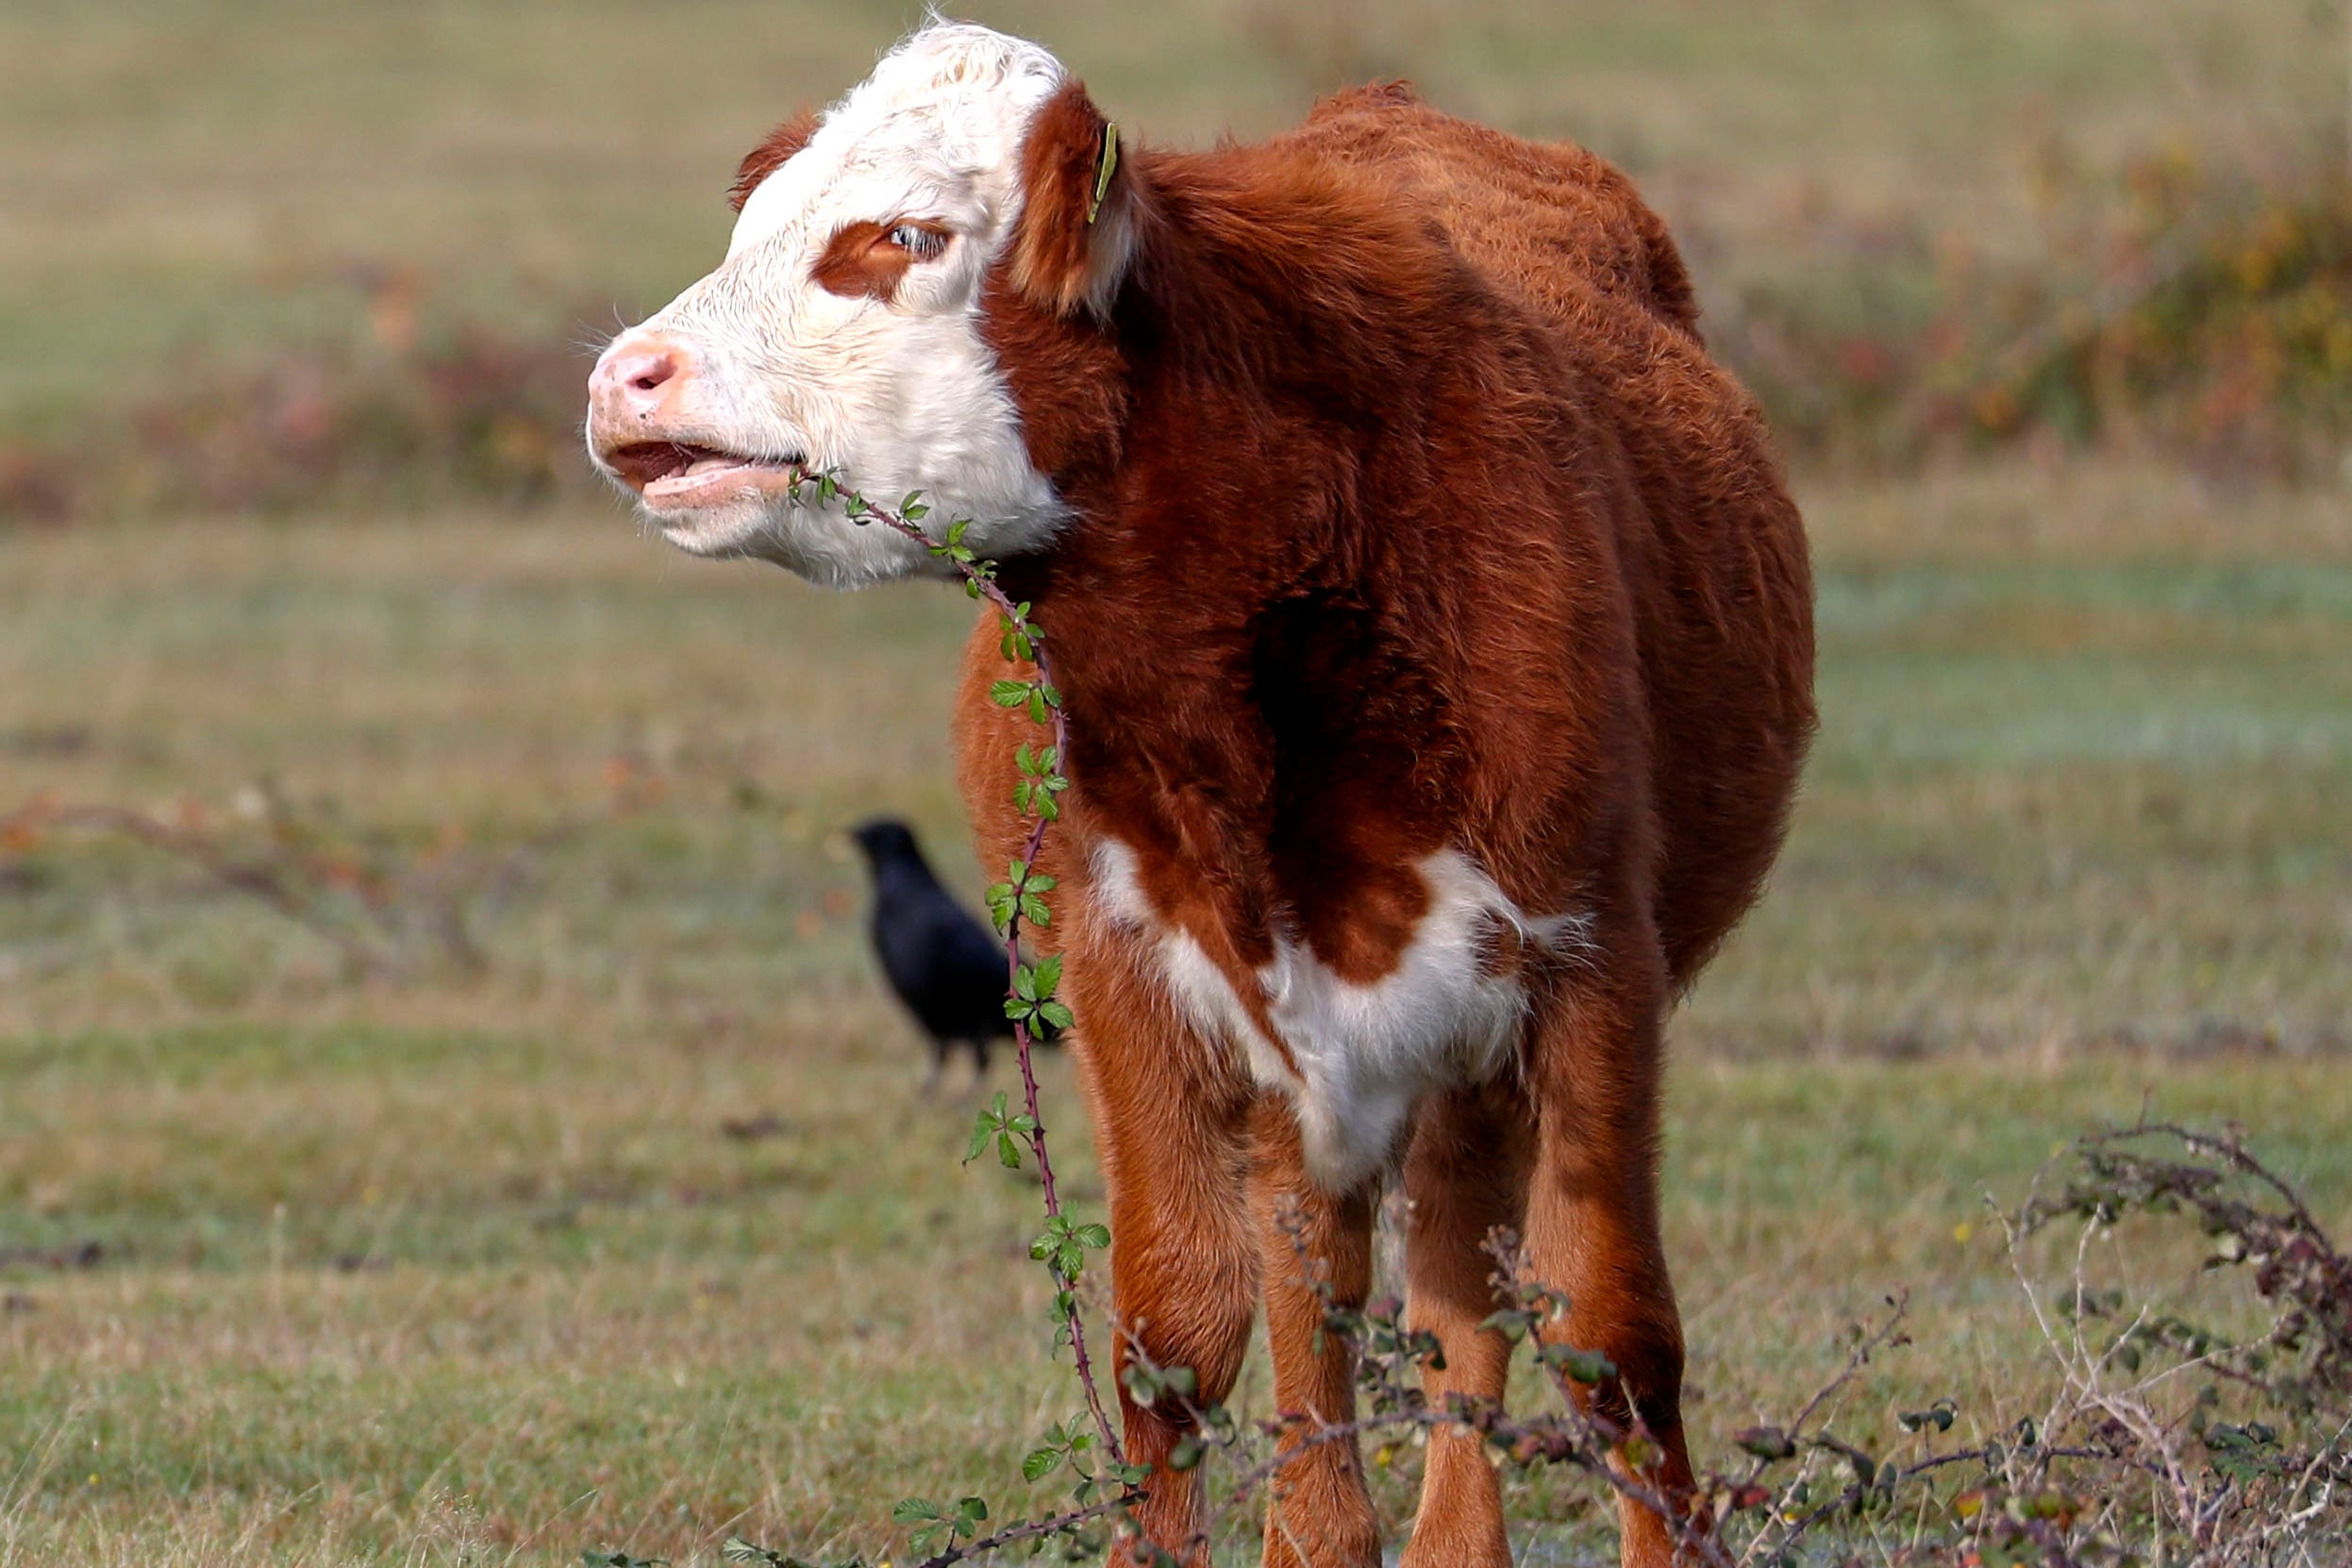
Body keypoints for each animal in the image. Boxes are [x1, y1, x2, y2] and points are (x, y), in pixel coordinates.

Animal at [588, 25, 1815, 1568]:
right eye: (753, 221)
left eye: (906, 237)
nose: (624, 377)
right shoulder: (1127, 979)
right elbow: (1177, 1335)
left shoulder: (1594, 965)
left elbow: (1610, 1331)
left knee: (1459, 1296)